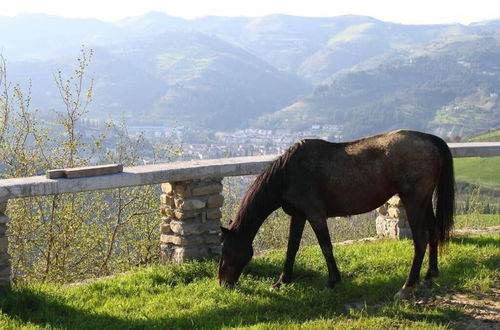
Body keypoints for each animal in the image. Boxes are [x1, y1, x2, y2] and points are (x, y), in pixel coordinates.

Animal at [217, 130, 456, 300]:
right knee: (433, 232)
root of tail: (429, 139)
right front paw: (282, 281)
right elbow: (292, 247)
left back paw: (407, 286)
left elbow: (325, 246)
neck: (288, 174)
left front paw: (333, 280)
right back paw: (430, 275)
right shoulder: (298, 215)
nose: (222, 282)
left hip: (414, 201)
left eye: (226, 249)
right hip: (424, 202)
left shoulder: (315, 214)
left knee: (421, 240)